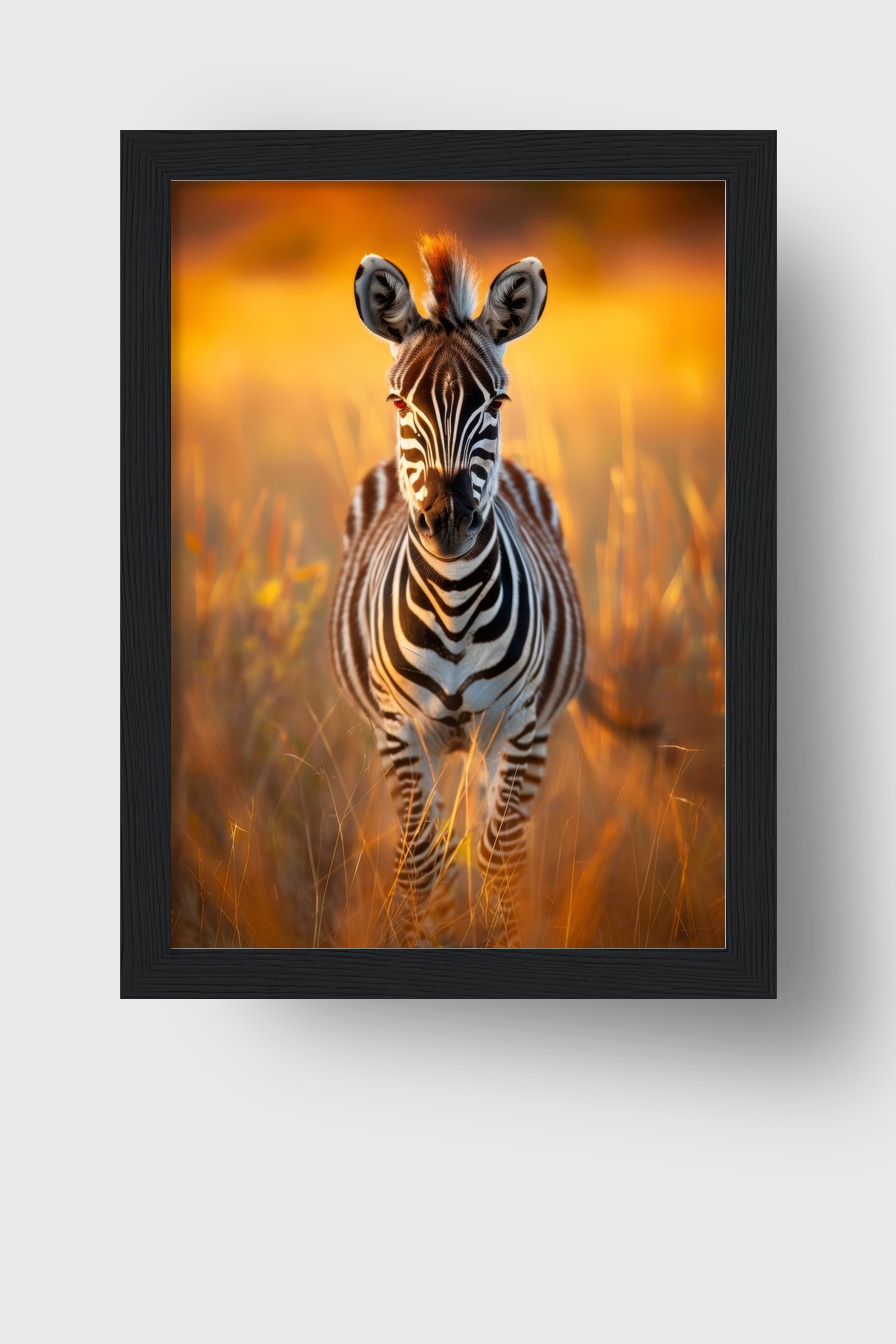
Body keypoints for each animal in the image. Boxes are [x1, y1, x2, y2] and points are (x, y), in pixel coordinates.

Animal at [329, 233, 586, 945]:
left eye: (495, 403)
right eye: (398, 403)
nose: (448, 521)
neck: (452, 606)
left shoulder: (517, 724)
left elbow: (499, 862)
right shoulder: (401, 730)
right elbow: (422, 863)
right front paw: (427, 935)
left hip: (517, 737)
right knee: (435, 845)